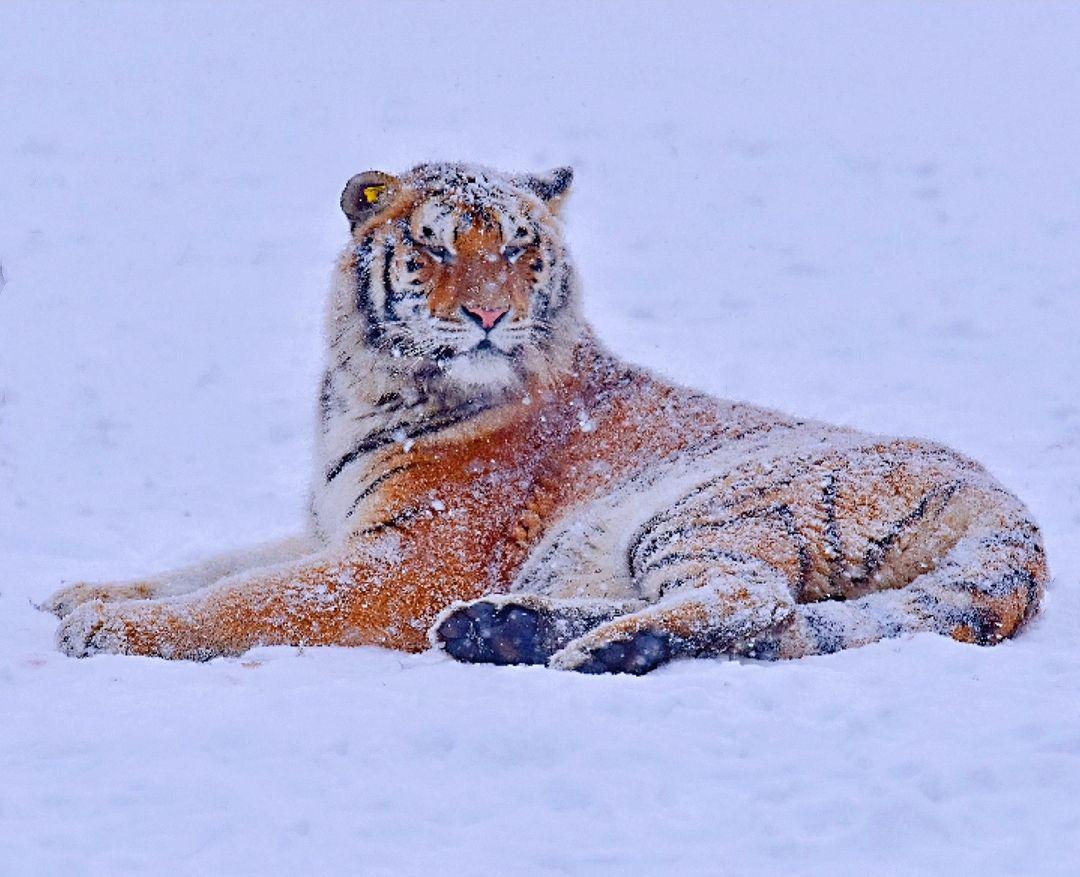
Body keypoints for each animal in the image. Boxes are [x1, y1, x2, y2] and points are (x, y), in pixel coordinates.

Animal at [42, 163, 1045, 669]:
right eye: (437, 247)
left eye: (523, 251)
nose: (492, 314)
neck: (366, 388)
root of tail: (1014, 514)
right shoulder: (333, 526)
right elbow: (216, 565)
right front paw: (85, 592)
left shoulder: (407, 559)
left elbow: (255, 597)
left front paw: (113, 631)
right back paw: (504, 630)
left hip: (711, 505)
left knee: (755, 604)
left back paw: (599, 647)